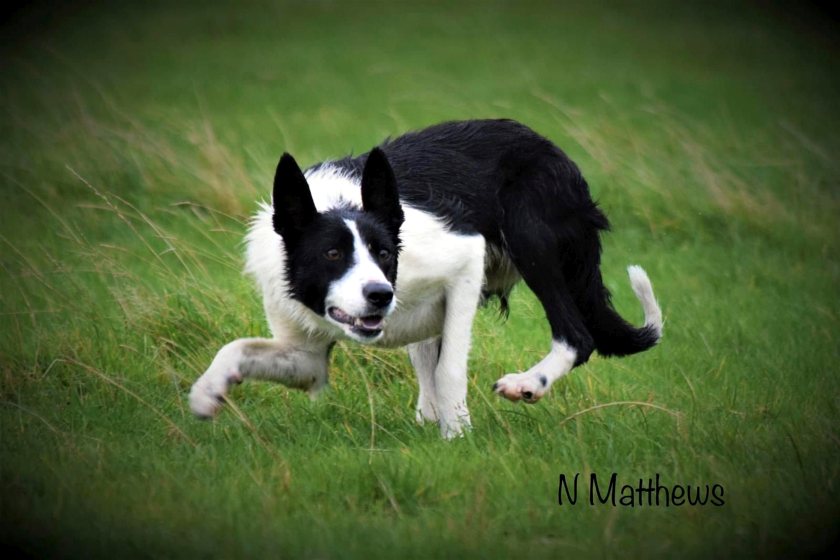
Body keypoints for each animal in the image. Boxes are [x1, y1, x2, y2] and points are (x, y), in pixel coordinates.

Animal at [190, 119, 664, 438]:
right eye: (331, 254)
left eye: (384, 253)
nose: (380, 295)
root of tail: (552, 149)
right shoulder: (306, 357)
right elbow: (238, 348)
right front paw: (207, 393)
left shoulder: (465, 261)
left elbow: (450, 368)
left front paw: (459, 437)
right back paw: (428, 416)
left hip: (531, 235)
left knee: (576, 336)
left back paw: (526, 385)